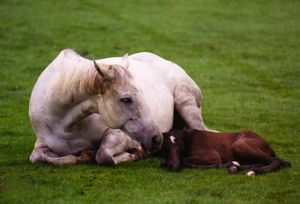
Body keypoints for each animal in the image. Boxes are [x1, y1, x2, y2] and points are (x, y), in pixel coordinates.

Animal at [29, 49, 207, 166]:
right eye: (126, 99)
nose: (156, 138)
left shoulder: (119, 133)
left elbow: (103, 156)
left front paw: (133, 154)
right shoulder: (42, 143)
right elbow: (38, 156)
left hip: (186, 104)